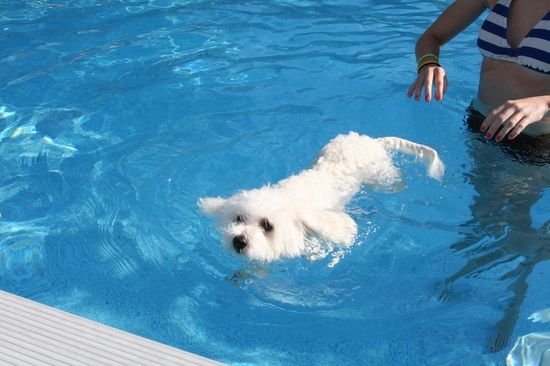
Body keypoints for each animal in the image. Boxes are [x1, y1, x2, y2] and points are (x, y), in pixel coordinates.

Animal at [201, 133, 446, 262]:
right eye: (239, 218)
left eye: (268, 226)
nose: (239, 240)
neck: (286, 200)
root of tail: (372, 140)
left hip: (380, 176)